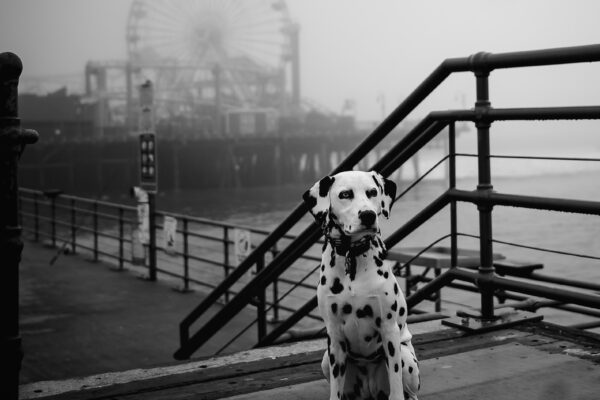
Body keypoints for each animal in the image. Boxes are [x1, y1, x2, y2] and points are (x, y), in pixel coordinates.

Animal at [304, 171, 418, 400]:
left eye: (372, 192)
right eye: (345, 194)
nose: (368, 215)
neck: (352, 256)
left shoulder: (389, 330)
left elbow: (396, 385)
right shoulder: (335, 337)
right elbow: (335, 391)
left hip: (405, 358)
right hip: (325, 360)